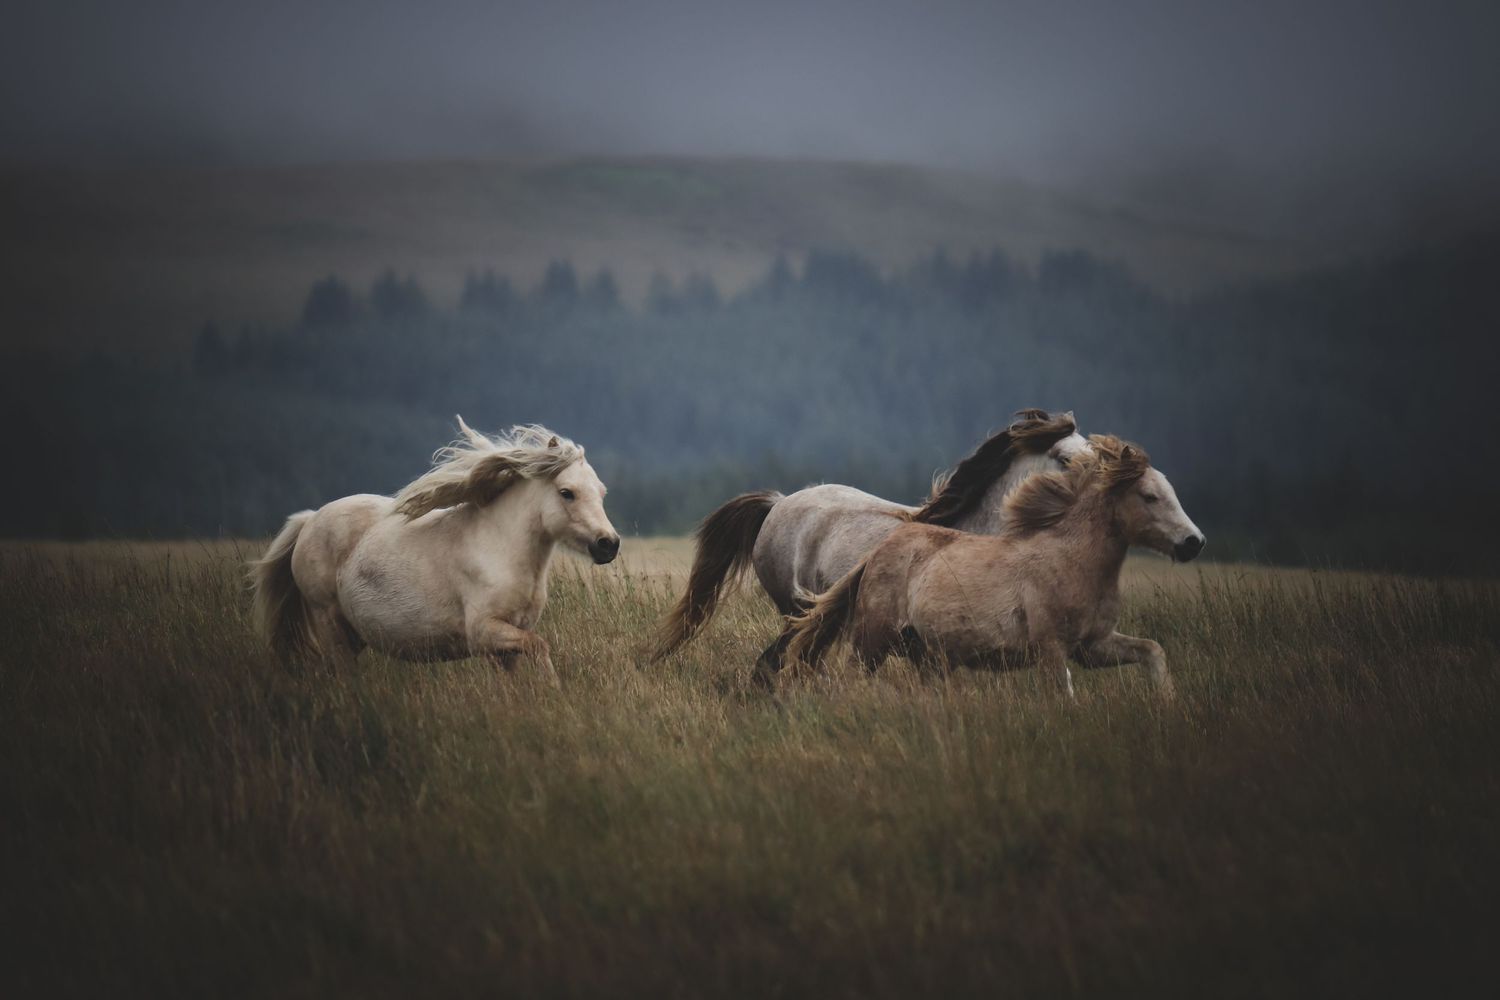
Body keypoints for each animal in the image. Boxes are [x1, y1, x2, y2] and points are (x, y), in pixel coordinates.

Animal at [249, 420, 621, 683]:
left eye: (602, 492)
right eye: (567, 492)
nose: (609, 544)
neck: (501, 549)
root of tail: (309, 520)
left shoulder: (506, 642)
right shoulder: (484, 632)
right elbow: (540, 647)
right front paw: (554, 689)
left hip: (352, 634)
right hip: (328, 620)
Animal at [784, 435, 1204, 699]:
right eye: (1149, 496)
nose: (1193, 542)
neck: (1072, 560)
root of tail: (876, 553)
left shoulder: (1093, 646)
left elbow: (1153, 651)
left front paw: (1167, 702)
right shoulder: (1051, 648)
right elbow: (1064, 695)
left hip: (928, 656)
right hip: (872, 640)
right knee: (850, 678)